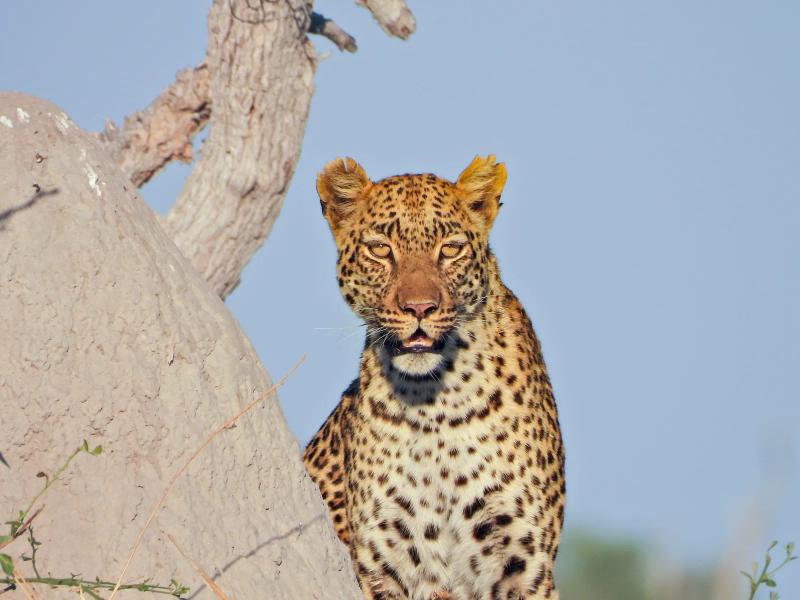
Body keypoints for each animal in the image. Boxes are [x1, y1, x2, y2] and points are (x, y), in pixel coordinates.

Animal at [303, 156, 565, 600]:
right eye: (380, 249)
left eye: (450, 249)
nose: (420, 308)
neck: (435, 404)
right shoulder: (383, 564)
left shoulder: (524, 562)